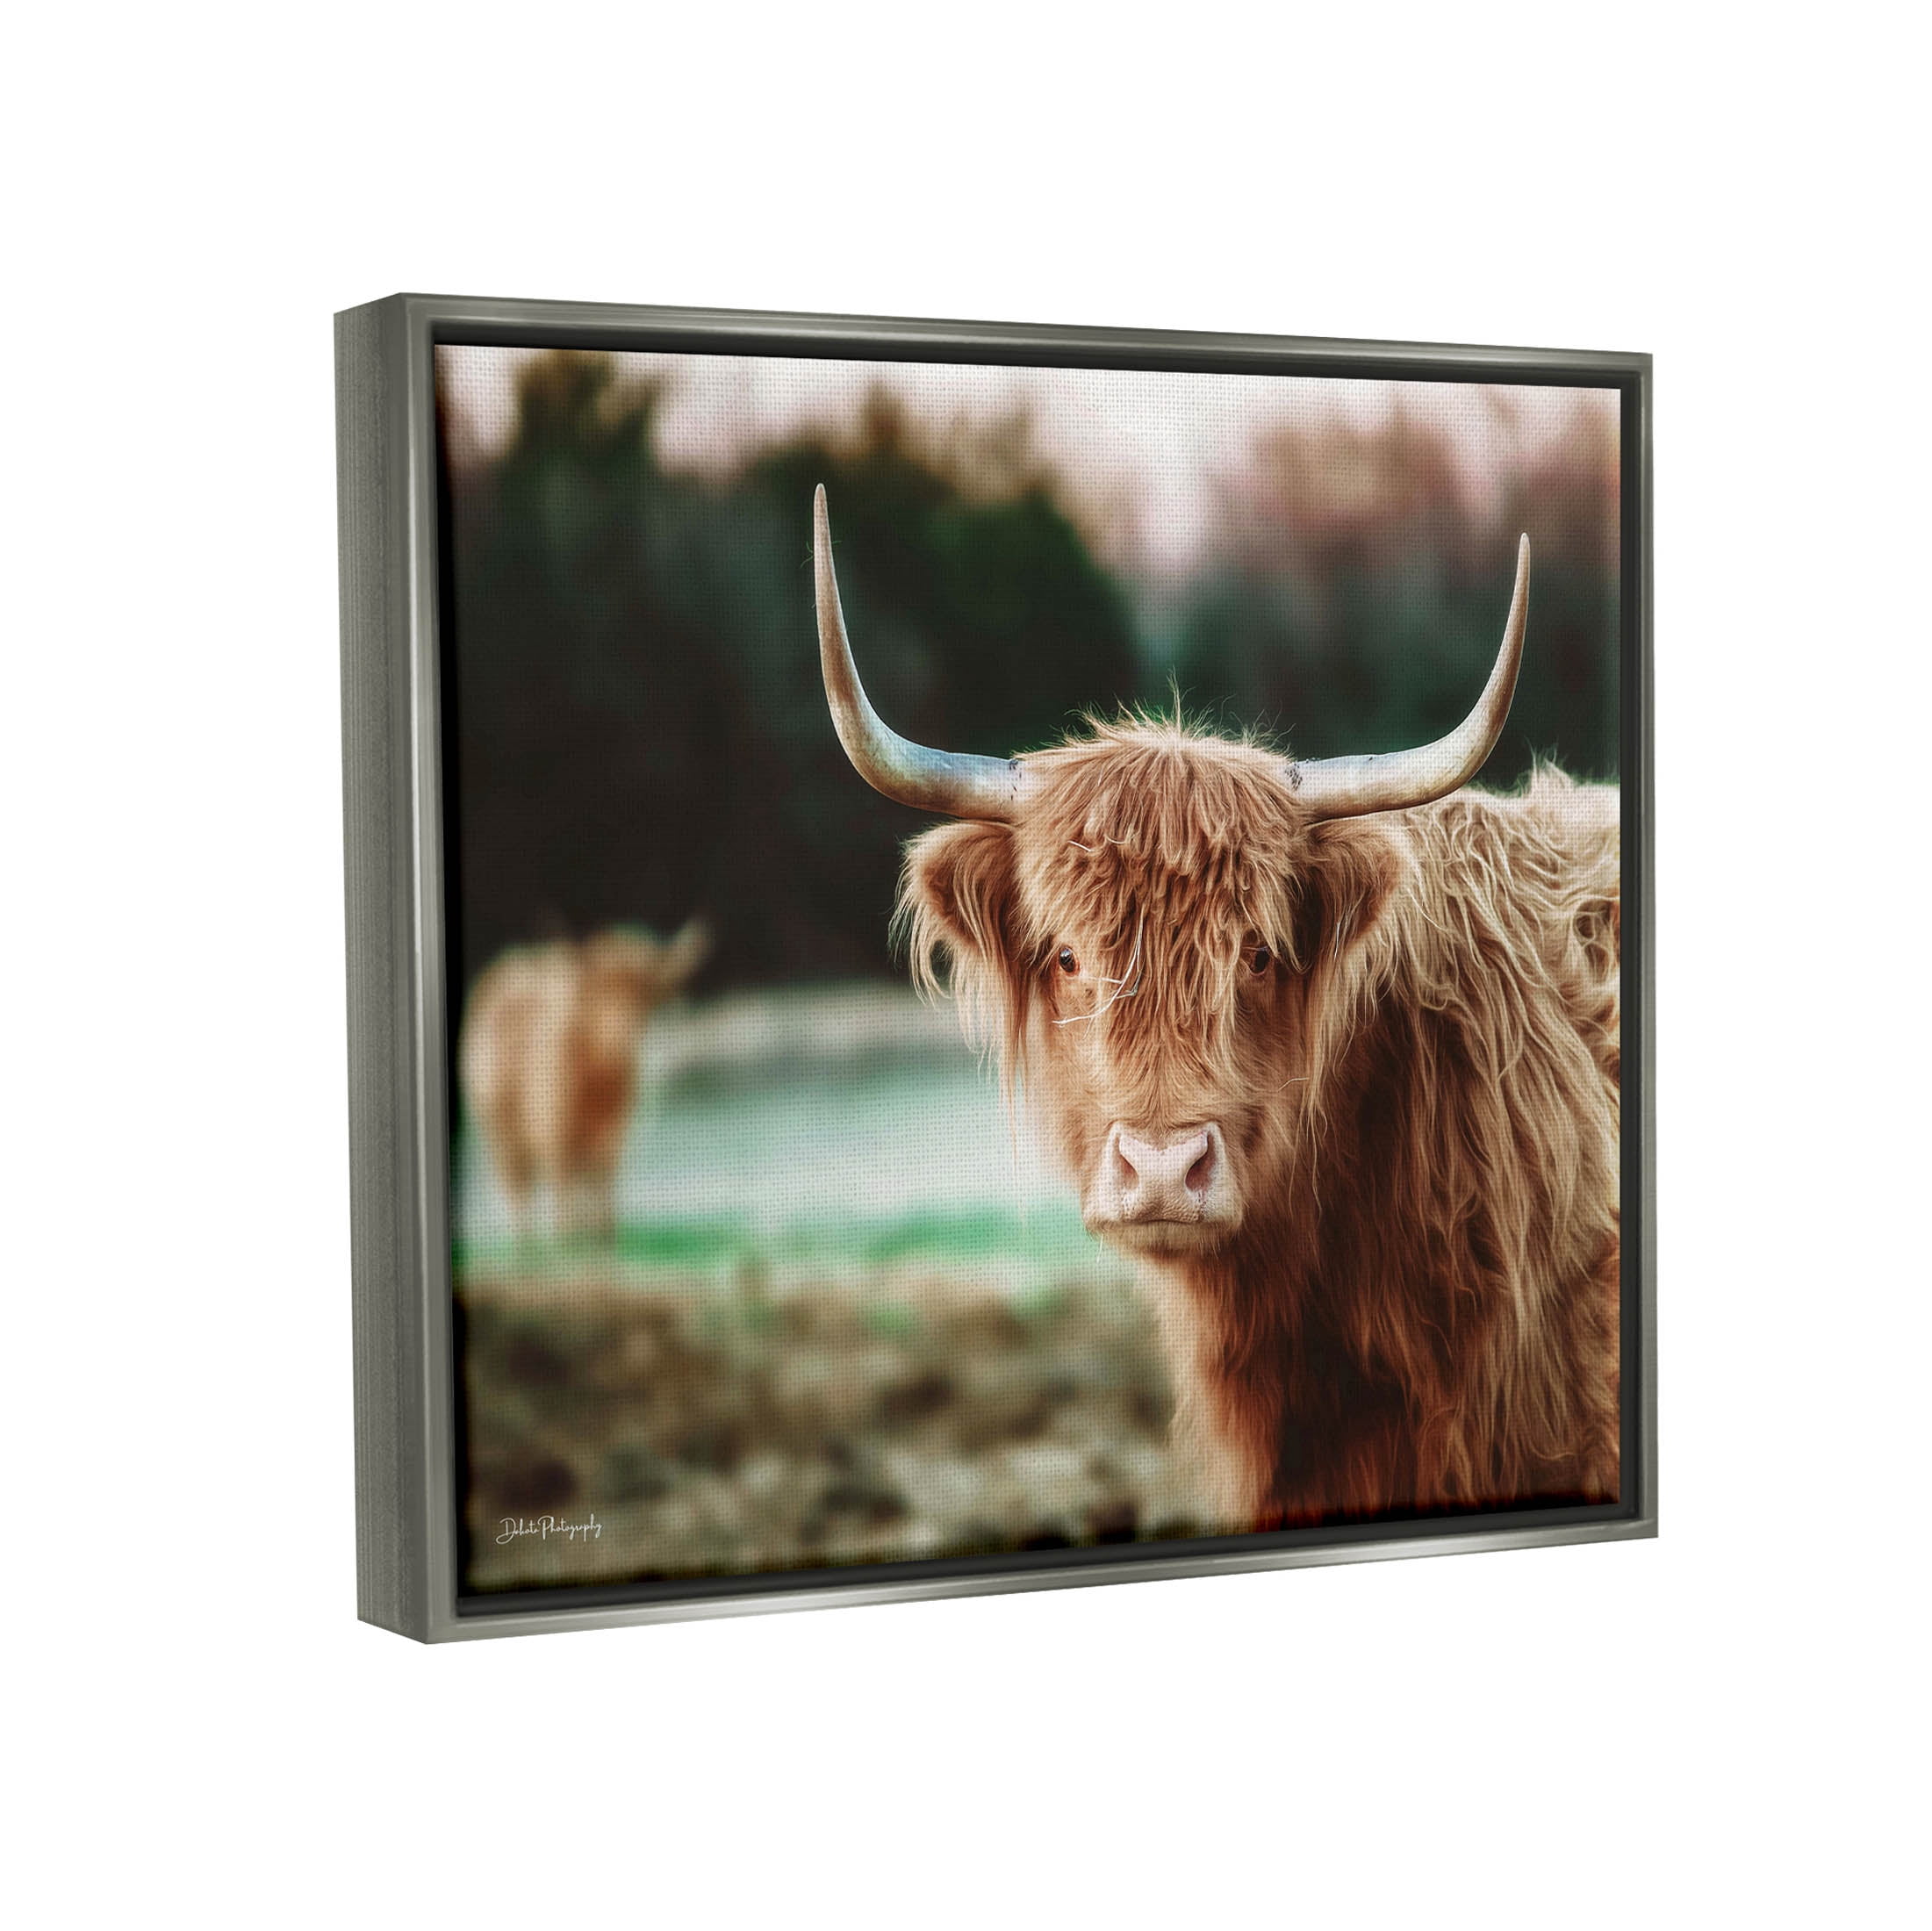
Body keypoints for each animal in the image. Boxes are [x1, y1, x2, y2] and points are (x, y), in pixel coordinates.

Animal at [459, 920, 711, 1241]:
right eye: (598, 996)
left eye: (643, 994)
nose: (621, 1038)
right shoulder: (555, 1139)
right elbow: (563, 1207)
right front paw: (566, 1240)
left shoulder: (610, 1142)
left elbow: (603, 1209)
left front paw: (600, 1237)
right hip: (502, 1136)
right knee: (521, 1197)